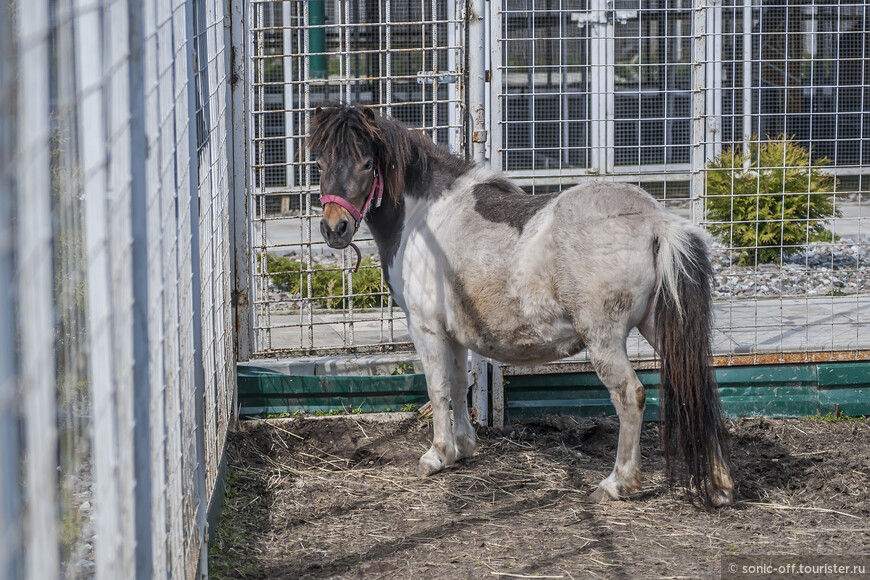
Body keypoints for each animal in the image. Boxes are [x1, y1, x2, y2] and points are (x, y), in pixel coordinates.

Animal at [310, 105, 732, 508]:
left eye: (368, 164)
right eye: (320, 162)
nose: (334, 228)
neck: (424, 218)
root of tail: (658, 222)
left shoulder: (426, 327)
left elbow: (438, 387)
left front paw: (438, 454)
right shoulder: (454, 333)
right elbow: (459, 384)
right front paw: (463, 448)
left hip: (604, 339)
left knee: (630, 396)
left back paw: (617, 483)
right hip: (659, 327)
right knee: (697, 384)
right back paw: (720, 485)